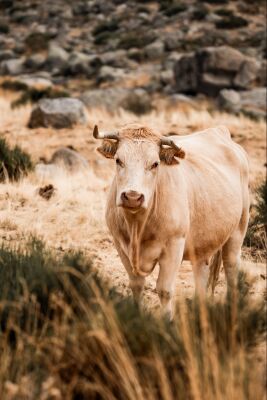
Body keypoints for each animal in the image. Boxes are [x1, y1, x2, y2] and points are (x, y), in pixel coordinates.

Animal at [93, 124, 250, 318]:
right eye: (118, 160)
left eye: (155, 164)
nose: (132, 197)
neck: (138, 226)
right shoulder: (120, 245)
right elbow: (136, 285)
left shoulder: (174, 246)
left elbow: (164, 290)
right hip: (202, 245)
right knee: (202, 275)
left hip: (238, 231)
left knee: (231, 268)